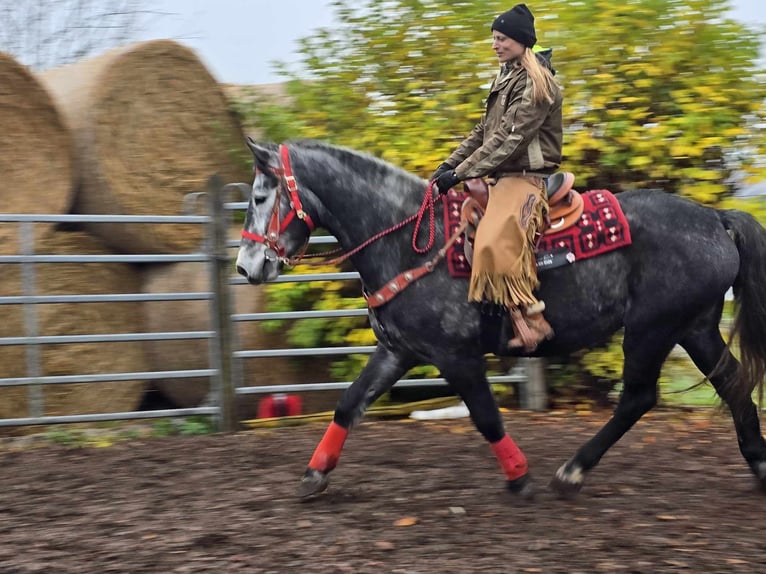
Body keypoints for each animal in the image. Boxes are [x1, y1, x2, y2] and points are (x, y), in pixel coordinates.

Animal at [234, 138, 766, 500]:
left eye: (260, 198)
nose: (245, 267)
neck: (408, 240)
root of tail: (715, 218)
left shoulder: (457, 356)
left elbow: (486, 416)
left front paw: (520, 476)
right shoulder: (397, 351)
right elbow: (349, 404)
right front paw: (314, 474)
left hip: (651, 330)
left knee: (638, 397)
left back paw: (571, 471)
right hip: (694, 328)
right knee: (733, 383)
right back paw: (759, 465)